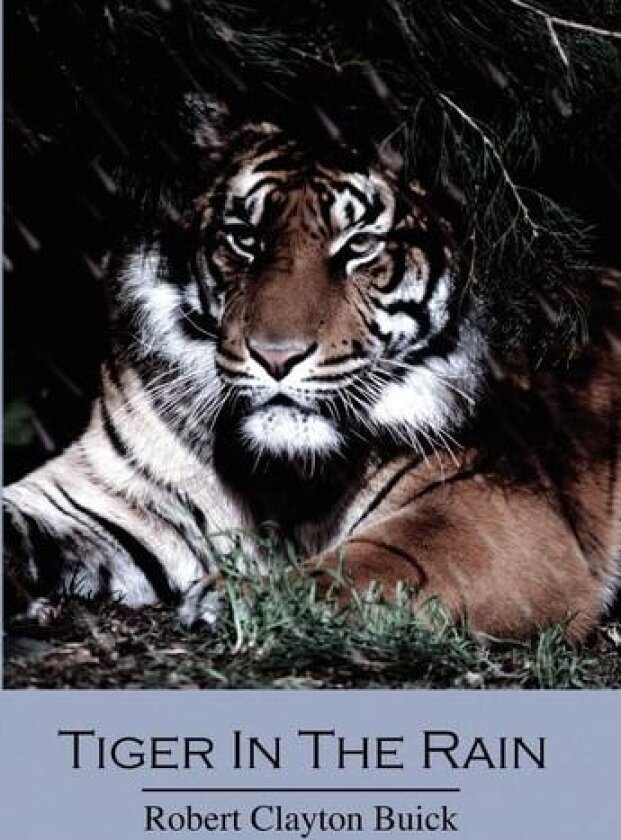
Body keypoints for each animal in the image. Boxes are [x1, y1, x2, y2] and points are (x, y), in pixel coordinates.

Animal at [4, 96, 620, 641]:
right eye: (244, 239)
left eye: (359, 245)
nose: (276, 356)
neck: (279, 476)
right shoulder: (107, 493)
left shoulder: (495, 509)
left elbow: (375, 563)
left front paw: (235, 599)